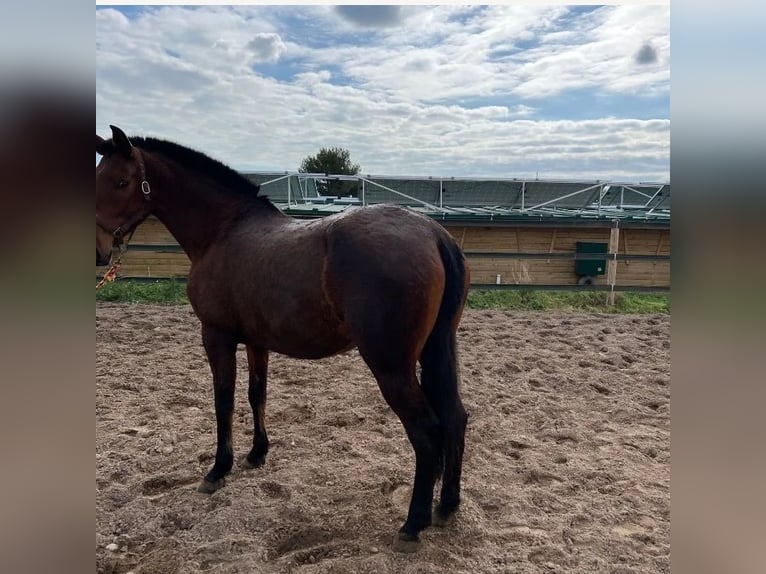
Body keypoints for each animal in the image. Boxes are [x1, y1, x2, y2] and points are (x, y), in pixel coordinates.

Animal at [94, 126, 472, 552]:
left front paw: (218, 470)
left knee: (426, 432)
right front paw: (257, 453)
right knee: (455, 418)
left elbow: (223, 401)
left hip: (391, 366)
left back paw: (413, 524)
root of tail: (434, 234)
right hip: (437, 351)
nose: (99, 251)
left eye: (121, 181)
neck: (223, 231)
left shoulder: (217, 336)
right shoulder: (257, 341)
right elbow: (256, 394)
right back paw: (447, 505)